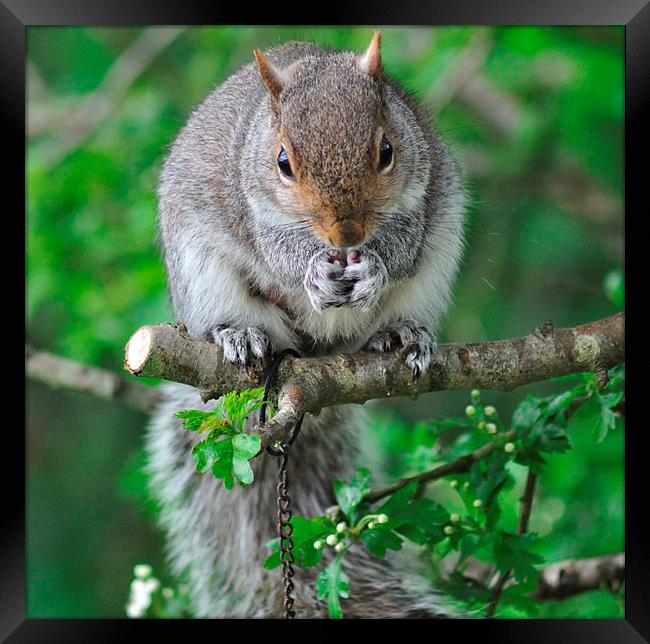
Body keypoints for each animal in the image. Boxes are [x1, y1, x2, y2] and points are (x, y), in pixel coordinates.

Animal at [144, 32, 464, 616]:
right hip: (201, 275)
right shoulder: (251, 210)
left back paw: (399, 333)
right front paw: (312, 269)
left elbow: (403, 243)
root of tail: (312, 360)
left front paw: (375, 266)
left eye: (387, 151)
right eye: (283, 163)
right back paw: (239, 335)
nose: (345, 235)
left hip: (438, 258)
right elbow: (279, 254)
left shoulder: (424, 189)